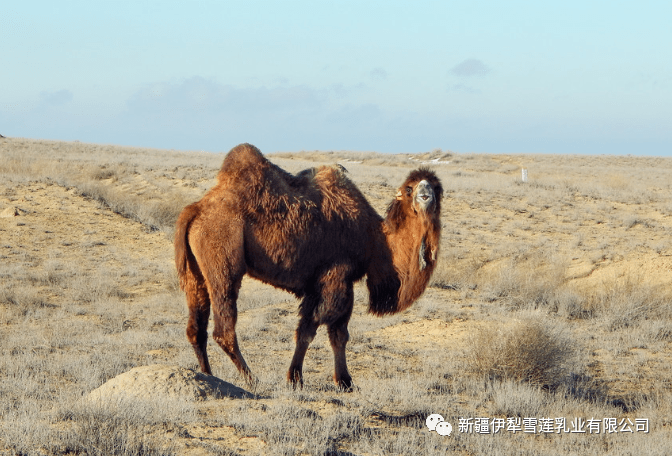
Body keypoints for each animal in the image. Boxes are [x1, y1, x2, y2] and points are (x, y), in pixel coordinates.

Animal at [176, 143, 444, 388]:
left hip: (195, 273)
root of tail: (194, 210)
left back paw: (210, 377)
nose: (425, 195)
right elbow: (323, 330)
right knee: (224, 329)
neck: (375, 239)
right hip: (223, 260)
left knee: (196, 329)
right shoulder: (337, 277)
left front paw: (337, 381)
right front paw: (308, 379)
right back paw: (252, 380)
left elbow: (324, 332)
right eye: (409, 188)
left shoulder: (319, 283)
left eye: (437, 188)